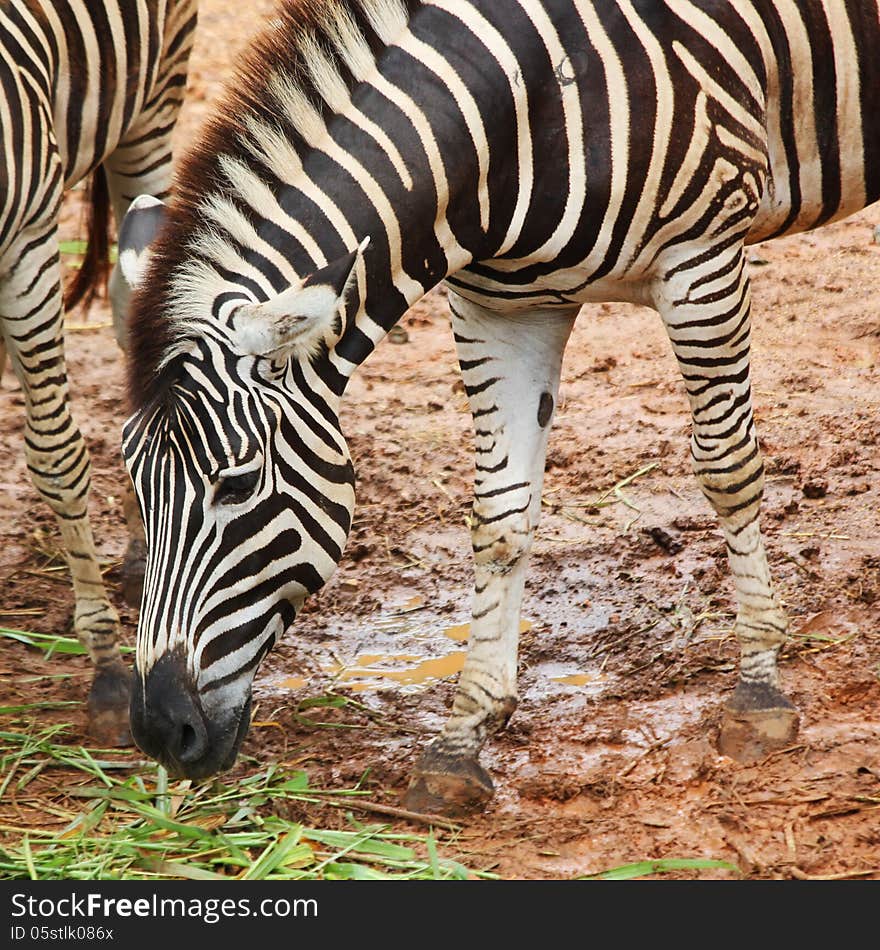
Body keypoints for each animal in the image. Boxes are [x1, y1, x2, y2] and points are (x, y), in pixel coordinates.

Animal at [118, 1, 880, 820]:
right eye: (134, 488)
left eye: (235, 484)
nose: (160, 732)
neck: (525, 104)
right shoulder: (501, 308)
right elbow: (501, 519)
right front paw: (461, 741)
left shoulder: (700, 261)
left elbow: (727, 471)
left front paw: (758, 691)